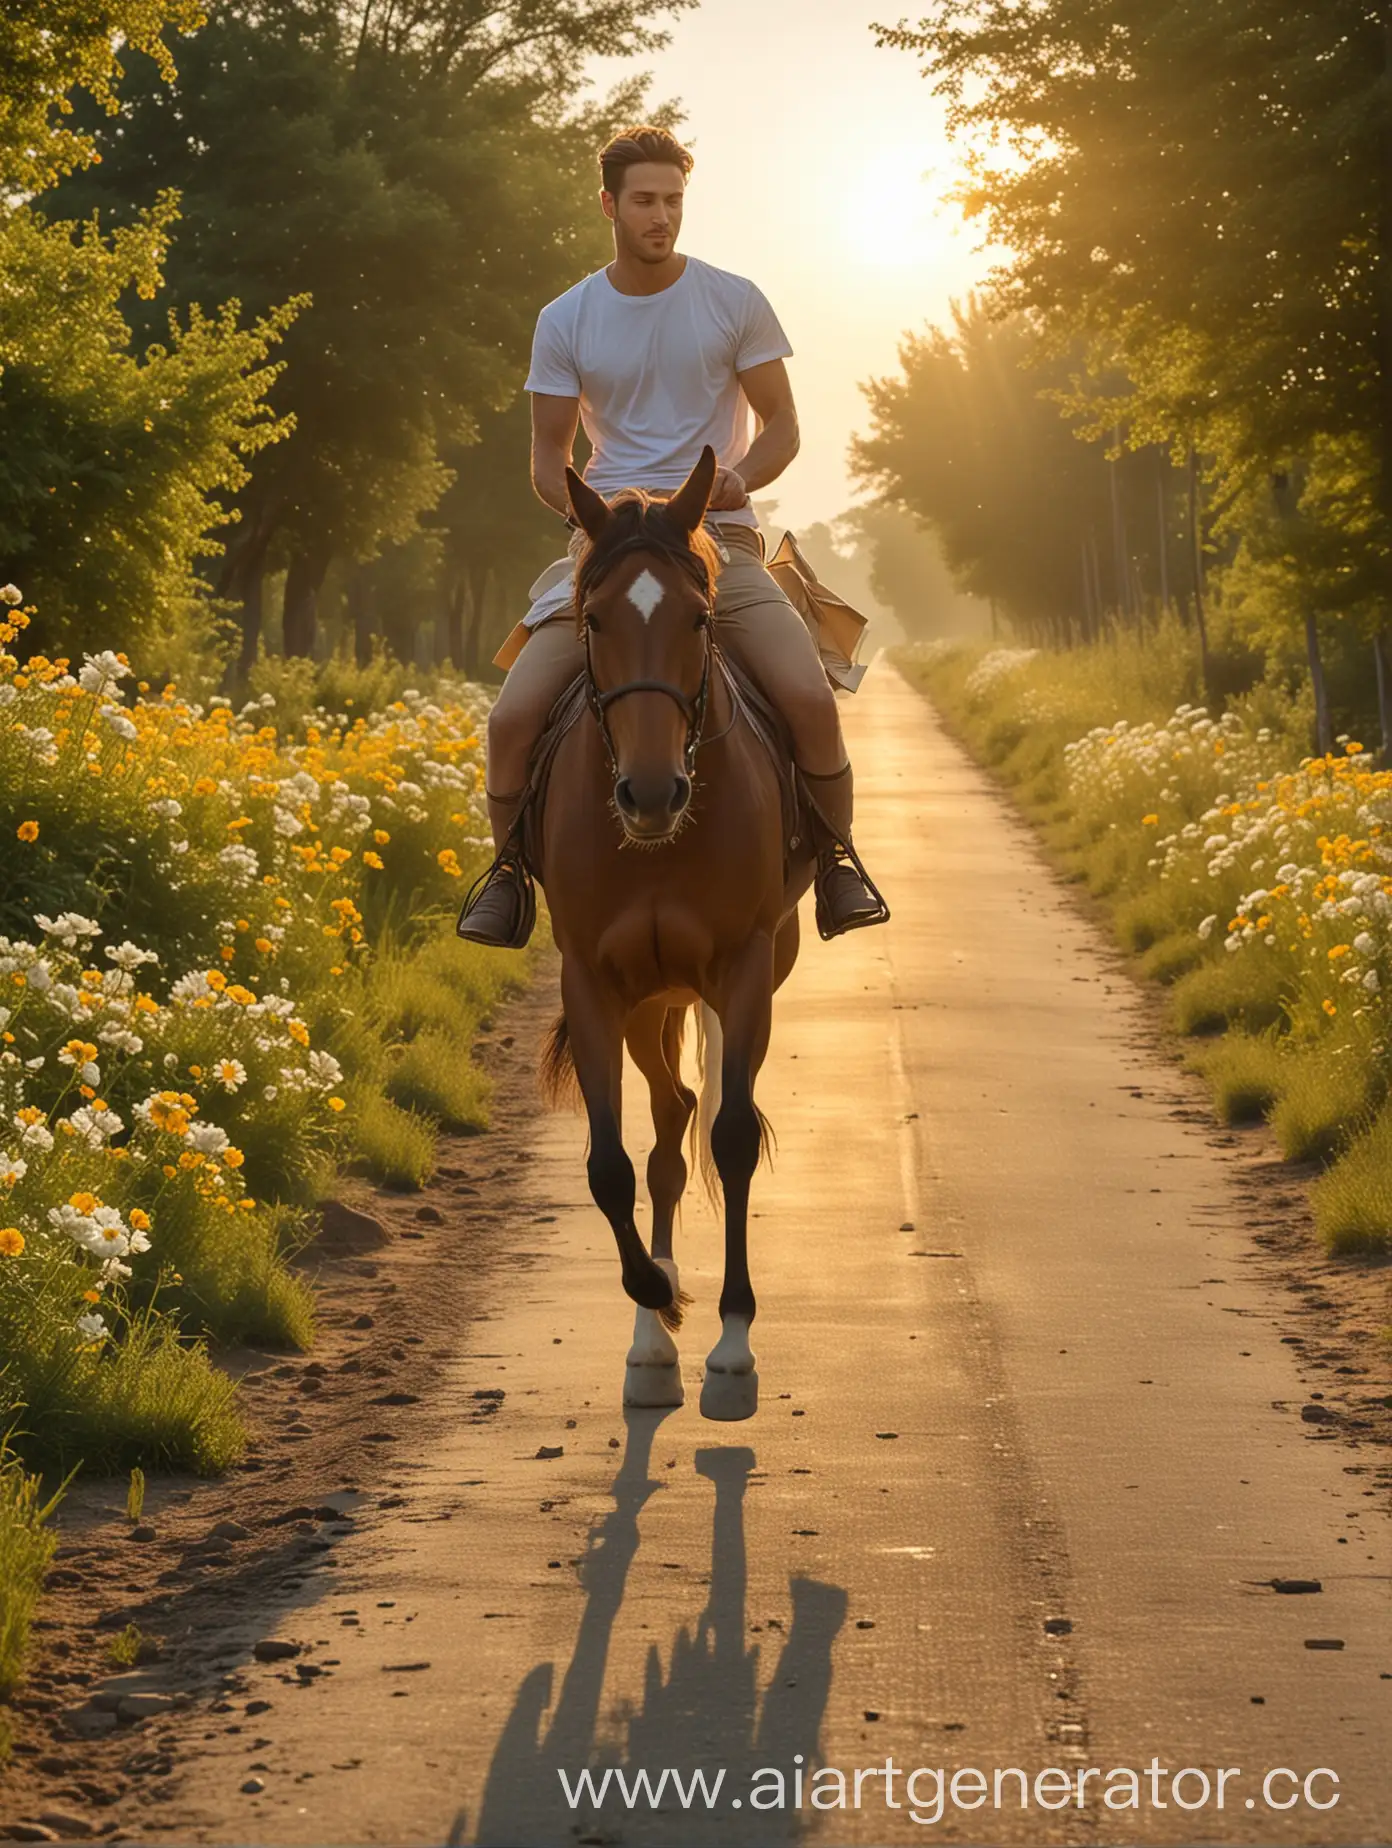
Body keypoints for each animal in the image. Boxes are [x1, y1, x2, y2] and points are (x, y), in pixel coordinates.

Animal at [536, 443, 813, 1411]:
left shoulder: (742, 969)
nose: (651, 795)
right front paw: (656, 1294)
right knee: (666, 1125)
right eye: (593, 619)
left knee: (705, 1116)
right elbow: (610, 1165)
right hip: (650, 999)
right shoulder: (592, 981)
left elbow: (733, 1140)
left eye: (698, 619)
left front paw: (732, 1349)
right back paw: (651, 1343)